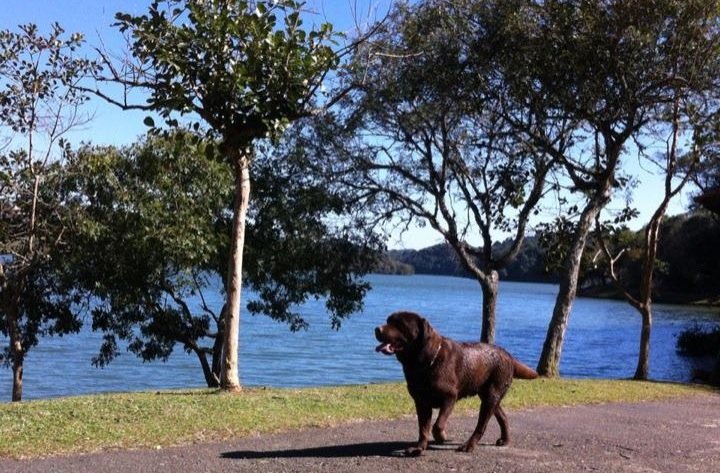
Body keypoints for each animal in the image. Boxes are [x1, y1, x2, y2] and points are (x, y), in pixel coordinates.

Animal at [374, 310, 536, 454]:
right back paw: (505, 440)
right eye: (388, 320)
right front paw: (419, 448)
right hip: (489, 396)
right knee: (502, 416)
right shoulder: (421, 402)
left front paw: (441, 437)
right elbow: (423, 428)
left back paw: (468, 445)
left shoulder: (450, 397)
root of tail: (508, 355)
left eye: (399, 323)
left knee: (481, 425)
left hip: (491, 395)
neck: (426, 362)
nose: (377, 329)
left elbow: (437, 425)